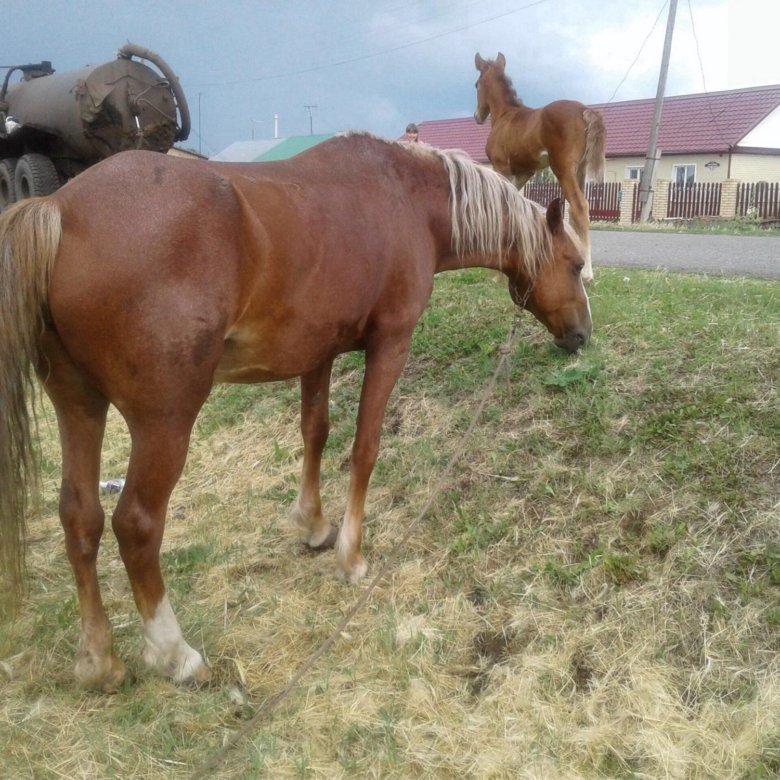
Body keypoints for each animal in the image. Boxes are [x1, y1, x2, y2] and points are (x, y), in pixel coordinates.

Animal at [0, 132, 591, 691]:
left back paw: (99, 661)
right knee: (136, 524)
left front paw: (313, 524)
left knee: (81, 517)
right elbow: (365, 445)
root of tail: (60, 210)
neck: (405, 198)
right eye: (577, 264)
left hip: (80, 407)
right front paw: (350, 555)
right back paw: (175, 654)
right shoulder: (390, 346)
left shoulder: (318, 354)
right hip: (164, 422)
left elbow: (316, 432)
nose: (583, 335)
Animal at [474, 52, 606, 282]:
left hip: (562, 168)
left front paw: (496, 275)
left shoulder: (501, 166)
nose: (477, 116)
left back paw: (587, 273)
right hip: (580, 170)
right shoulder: (525, 172)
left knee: (580, 207)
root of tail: (585, 110)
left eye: (476, 85)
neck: (505, 115)